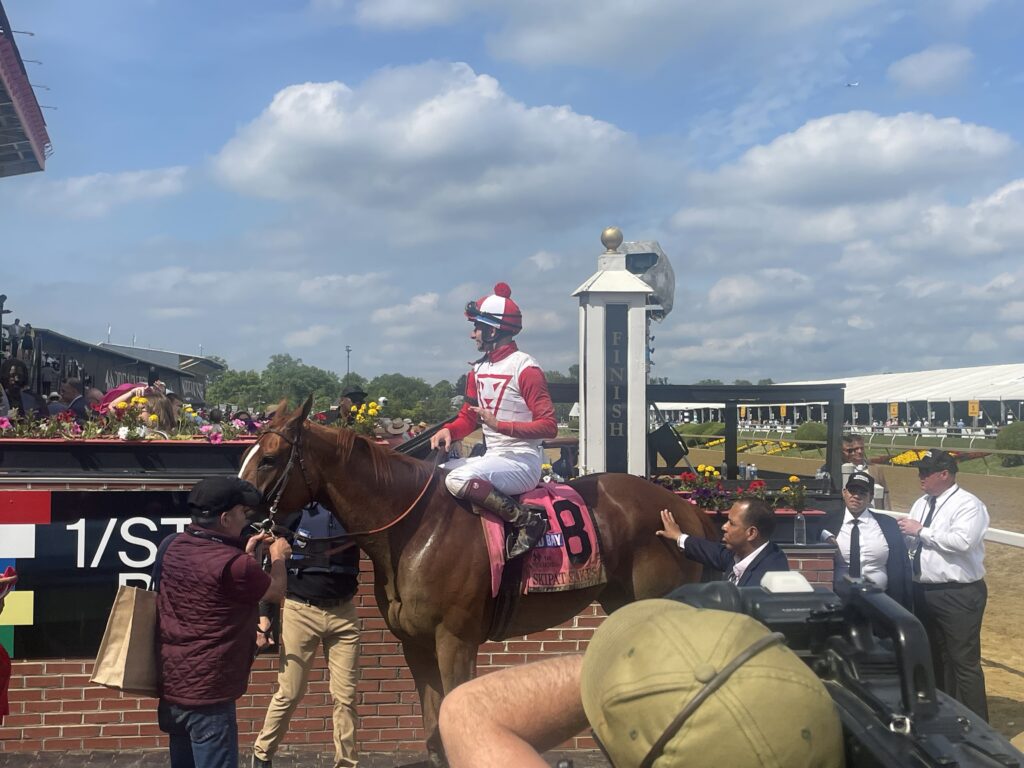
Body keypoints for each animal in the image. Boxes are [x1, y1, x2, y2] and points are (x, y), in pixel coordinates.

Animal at [242, 399, 716, 765]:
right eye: (249, 455)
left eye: (268, 459)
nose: (238, 511)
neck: (414, 527)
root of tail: (685, 508)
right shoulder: (415, 644)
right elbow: (434, 731)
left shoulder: (455, 640)